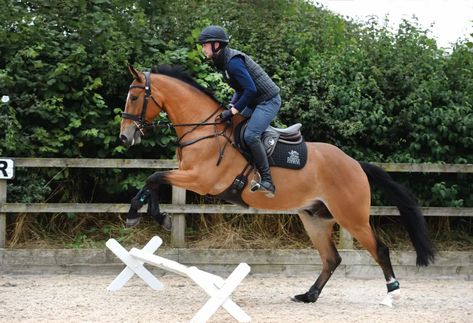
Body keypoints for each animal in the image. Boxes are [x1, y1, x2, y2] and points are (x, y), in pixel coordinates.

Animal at [119, 65, 436, 304]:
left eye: (133, 97)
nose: (125, 137)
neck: (204, 129)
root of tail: (355, 164)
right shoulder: (187, 174)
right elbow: (152, 181)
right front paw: (141, 214)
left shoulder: (200, 179)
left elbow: (154, 178)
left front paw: (155, 217)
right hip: (315, 219)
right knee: (331, 259)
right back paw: (309, 295)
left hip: (352, 217)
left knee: (378, 249)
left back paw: (392, 292)